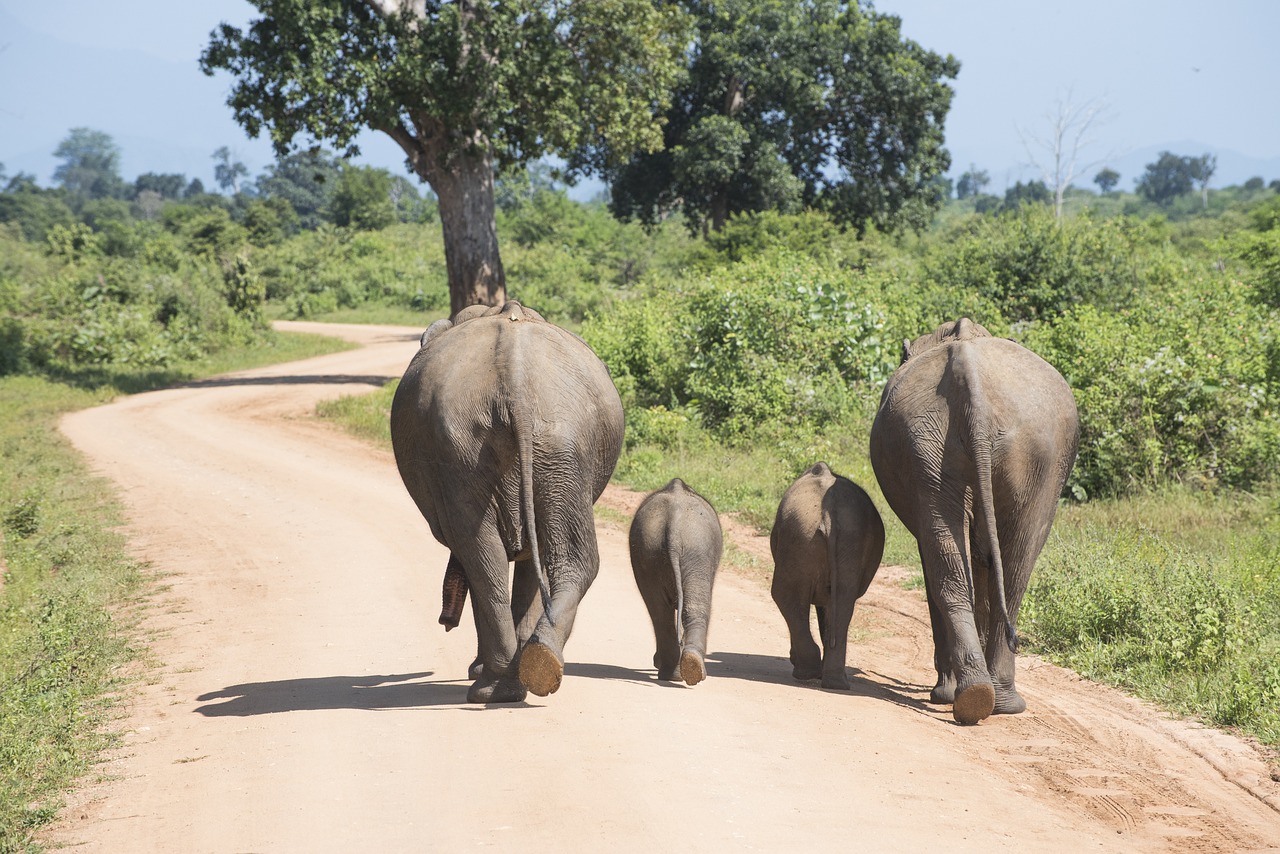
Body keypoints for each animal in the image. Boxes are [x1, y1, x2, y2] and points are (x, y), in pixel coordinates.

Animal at [391, 303, 627, 706]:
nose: (445, 621)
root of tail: (514, 382)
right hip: (536, 445)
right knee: (534, 557)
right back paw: (530, 669)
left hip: (487, 448)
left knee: (485, 554)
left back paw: (496, 682)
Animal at [627, 481, 721, 686]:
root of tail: (674, 529)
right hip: (691, 549)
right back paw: (684, 672)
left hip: (661, 550)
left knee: (661, 612)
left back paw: (684, 670)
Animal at [762, 463, 885, 691]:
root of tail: (829, 517)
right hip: (836, 539)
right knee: (842, 603)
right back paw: (835, 682)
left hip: (801, 537)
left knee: (784, 596)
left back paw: (808, 673)